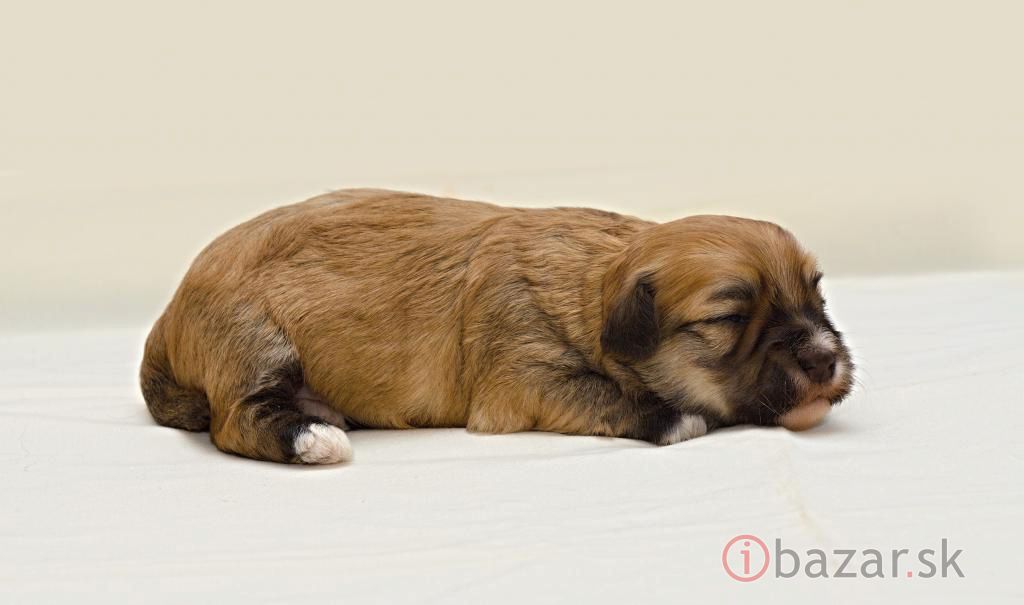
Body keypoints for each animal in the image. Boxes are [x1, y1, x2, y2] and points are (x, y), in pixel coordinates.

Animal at [141, 189, 853, 464]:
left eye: (817, 297)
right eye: (728, 317)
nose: (825, 358)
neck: (592, 283)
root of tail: (167, 319)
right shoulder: (524, 375)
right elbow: (605, 392)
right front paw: (676, 418)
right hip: (252, 338)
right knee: (236, 421)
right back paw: (313, 437)